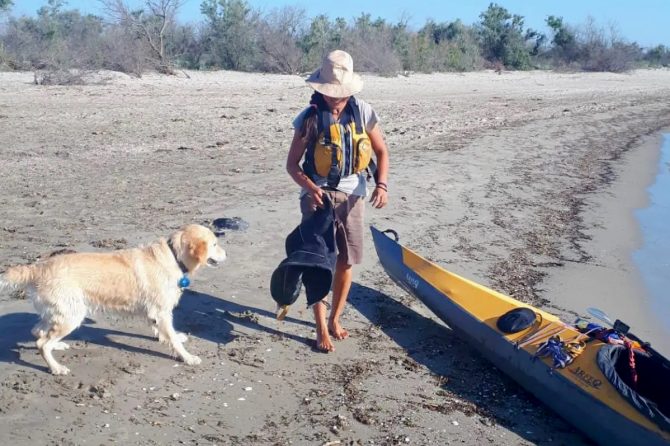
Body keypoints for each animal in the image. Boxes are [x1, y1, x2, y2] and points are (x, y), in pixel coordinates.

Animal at [0, 225, 228, 374]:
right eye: (215, 244)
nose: (226, 254)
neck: (173, 256)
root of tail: (38, 267)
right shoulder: (162, 310)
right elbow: (171, 337)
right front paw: (187, 357)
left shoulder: (155, 310)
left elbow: (163, 331)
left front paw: (167, 338)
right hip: (72, 315)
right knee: (42, 342)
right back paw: (56, 368)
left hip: (59, 311)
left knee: (37, 332)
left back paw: (58, 346)